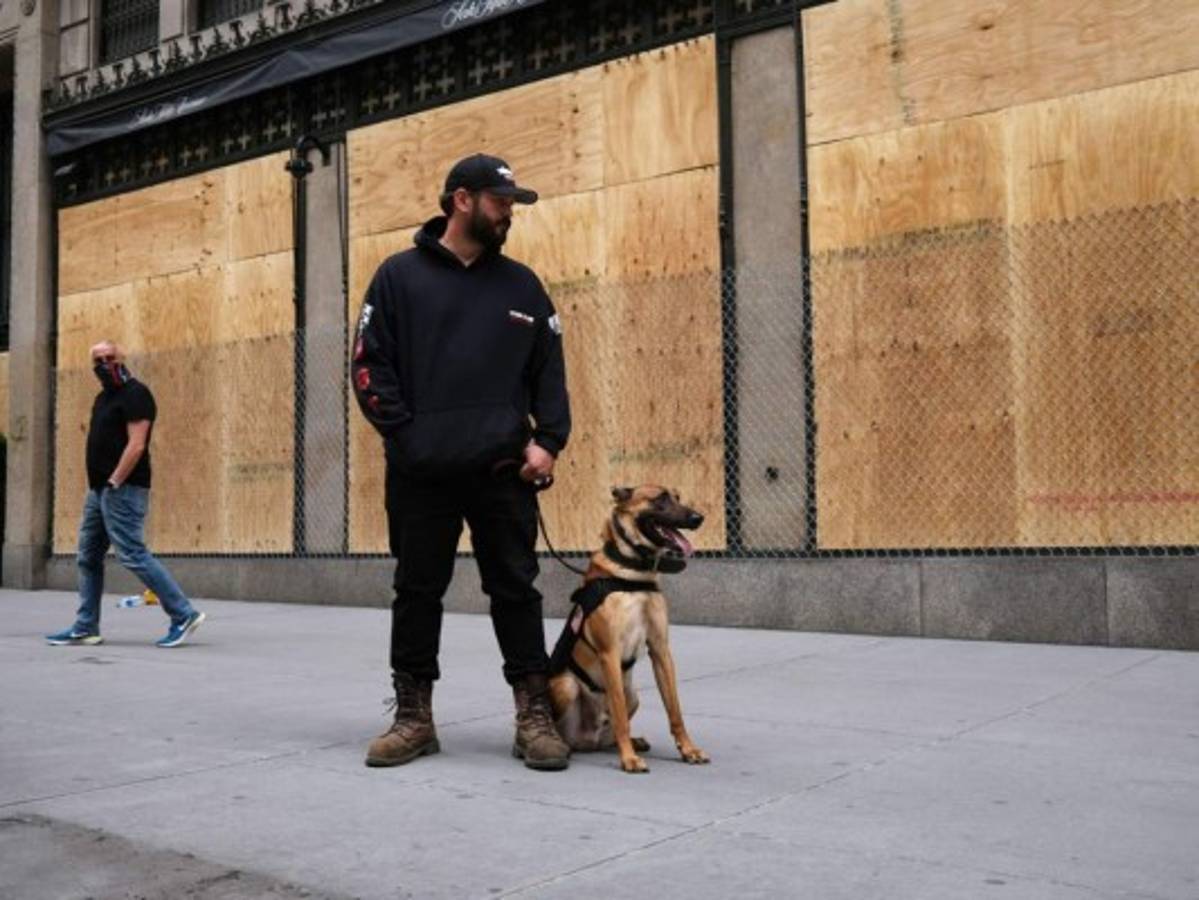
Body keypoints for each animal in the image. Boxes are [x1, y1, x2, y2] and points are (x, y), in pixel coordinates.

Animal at [547, 485, 710, 773]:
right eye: (660, 498)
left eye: (678, 497)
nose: (698, 518)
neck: (634, 572)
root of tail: (588, 740)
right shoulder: (609, 653)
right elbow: (620, 714)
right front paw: (629, 759)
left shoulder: (661, 651)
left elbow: (675, 711)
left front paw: (688, 749)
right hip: (566, 686)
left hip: (633, 695)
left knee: (611, 732)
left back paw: (633, 741)